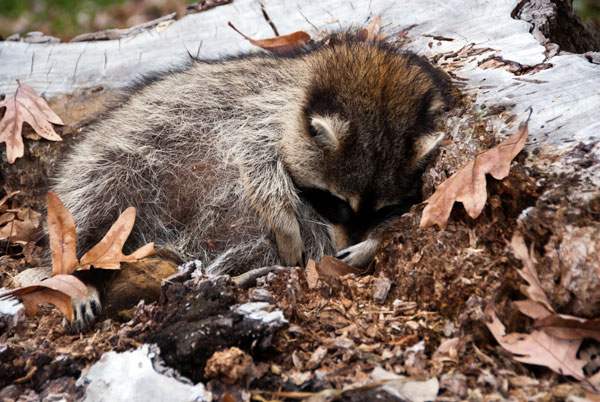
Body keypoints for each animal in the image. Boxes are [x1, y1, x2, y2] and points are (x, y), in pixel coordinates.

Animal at [51, 40, 448, 330]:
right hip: (121, 152)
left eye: (383, 209)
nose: (342, 248)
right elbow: (256, 166)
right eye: (336, 203)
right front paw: (285, 222)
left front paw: (372, 241)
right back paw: (80, 272)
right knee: (94, 196)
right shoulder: (255, 113)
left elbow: (411, 215)